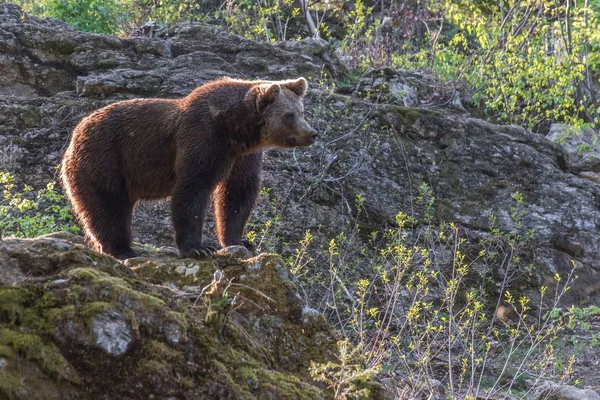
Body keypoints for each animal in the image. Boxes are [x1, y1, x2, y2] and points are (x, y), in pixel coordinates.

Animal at [61, 77, 316, 260]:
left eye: (302, 112)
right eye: (289, 115)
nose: (312, 133)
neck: (235, 130)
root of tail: (74, 134)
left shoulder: (243, 156)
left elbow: (238, 192)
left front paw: (240, 240)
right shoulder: (202, 138)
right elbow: (193, 188)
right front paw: (197, 248)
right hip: (105, 160)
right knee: (109, 205)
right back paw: (123, 249)